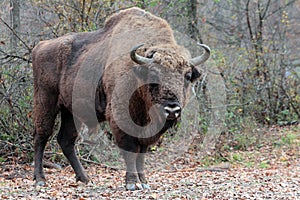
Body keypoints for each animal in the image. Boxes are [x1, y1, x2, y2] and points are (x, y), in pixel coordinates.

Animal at [32, 7, 209, 190]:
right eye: (154, 74)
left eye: (187, 76)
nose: (172, 108)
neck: (137, 72)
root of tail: (40, 46)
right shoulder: (120, 117)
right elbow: (129, 149)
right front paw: (132, 183)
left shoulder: (145, 128)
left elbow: (141, 152)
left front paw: (143, 182)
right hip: (45, 102)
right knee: (41, 136)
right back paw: (40, 179)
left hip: (71, 112)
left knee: (66, 140)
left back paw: (85, 178)